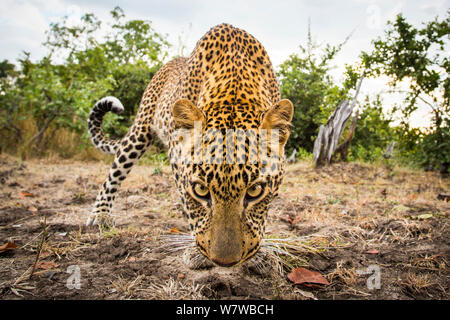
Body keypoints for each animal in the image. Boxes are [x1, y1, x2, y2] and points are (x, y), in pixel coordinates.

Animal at [85, 23, 294, 268]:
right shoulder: (177, 156)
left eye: (255, 191)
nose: (225, 262)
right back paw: (100, 214)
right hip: (140, 130)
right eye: (201, 190)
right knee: (115, 171)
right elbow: (190, 208)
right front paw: (195, 250)